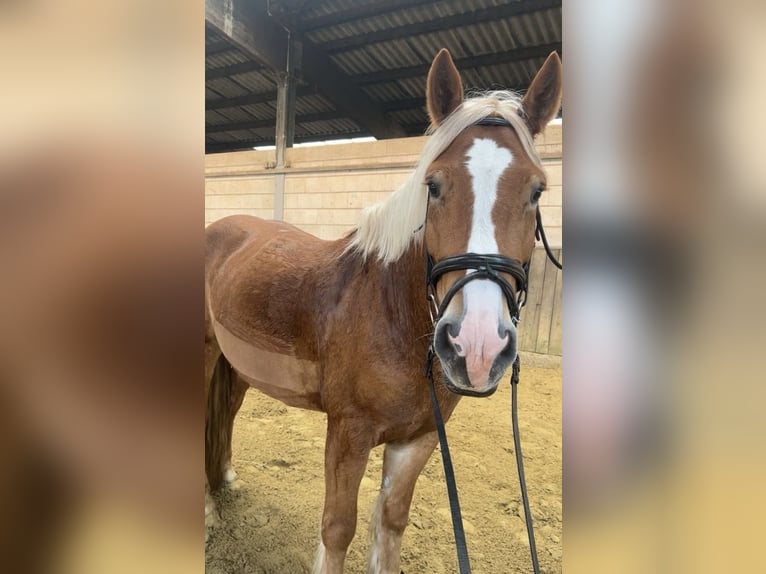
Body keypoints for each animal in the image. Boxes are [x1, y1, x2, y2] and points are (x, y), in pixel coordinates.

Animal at [205, 48, 562, 574]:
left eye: (537, 191)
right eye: (433, 186)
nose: (476, 345)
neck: (392, 315)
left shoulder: (418, 439)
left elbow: (390, 524)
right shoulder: (348, 433)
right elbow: (337, 529)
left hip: (235, 364)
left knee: (225, 411)